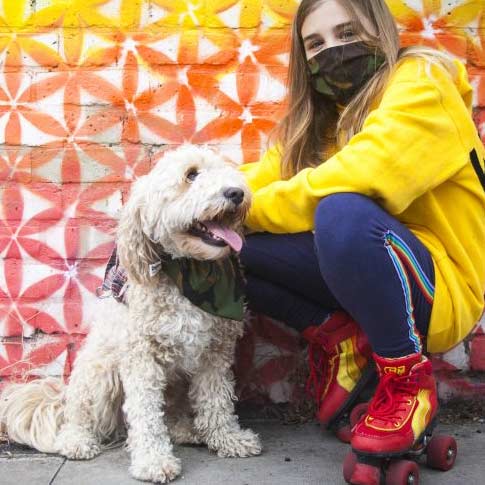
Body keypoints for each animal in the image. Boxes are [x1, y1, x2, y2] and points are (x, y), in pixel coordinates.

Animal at [0, 144, 260, 480]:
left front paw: (228, 438)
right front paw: (153, 460)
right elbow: (145, 413)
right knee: (80, 416)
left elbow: (217, 401)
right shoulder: (141, 358)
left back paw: (185, 430)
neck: (188, 271)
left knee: (172, 413)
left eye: (228, 170)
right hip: (100, 374)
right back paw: (76, 441)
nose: (236, 192)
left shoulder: (215, 353)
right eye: (191, 175)